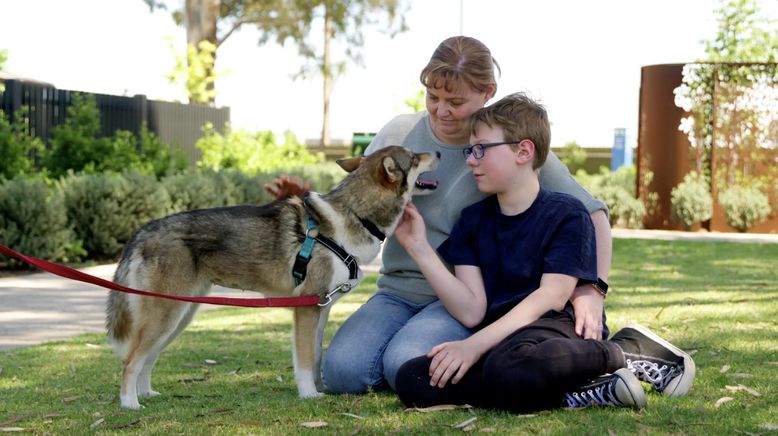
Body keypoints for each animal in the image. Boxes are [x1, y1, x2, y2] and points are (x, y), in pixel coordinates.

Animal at [106, 146, 440, 408]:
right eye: (413, 157)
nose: (437, 152)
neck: (354, 215)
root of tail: (143, 230)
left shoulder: (320, 310)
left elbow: (316, 355)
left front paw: (320, 389)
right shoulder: (306, 310)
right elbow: (303, 361)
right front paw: (309, 395)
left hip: (176, 318)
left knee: (147, 359)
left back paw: (146, 393)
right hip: (165, 317)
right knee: (130, 360)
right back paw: (130, 404)